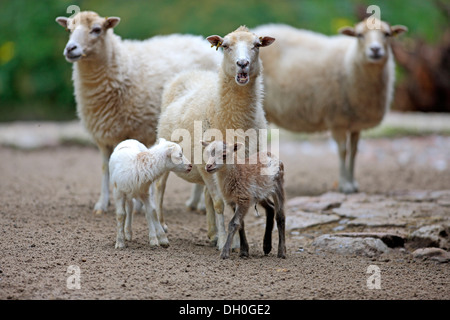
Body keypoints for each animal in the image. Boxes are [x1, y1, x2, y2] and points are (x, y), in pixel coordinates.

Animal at [55, 11, 221, 214]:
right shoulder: (103, 135)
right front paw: (102, 204)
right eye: (69, 29)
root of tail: (198, 40)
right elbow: (105, 168)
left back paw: (199, 204)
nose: (70, 49)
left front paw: (136, 204)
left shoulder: (132, 131)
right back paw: (194, 202)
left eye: (97, 29)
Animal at [155, 26, 274, 249]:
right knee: (160, 187)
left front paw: (232, 241)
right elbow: (219, 203)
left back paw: (212, 233)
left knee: (206, 195)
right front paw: (224, 242)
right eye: (225, 46)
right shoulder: (205, 164)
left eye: (257, 45)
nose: (242, 64)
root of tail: (191, 72)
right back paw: (161, 224)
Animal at [253, 20, 408, 194]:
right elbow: (342, 151)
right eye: (359, 35)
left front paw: (353, 183)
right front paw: (345, 185)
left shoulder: (355, 124)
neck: (350, 61)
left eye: (387, 34)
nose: (375, 49)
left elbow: (354, 152)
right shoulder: (337, 120)